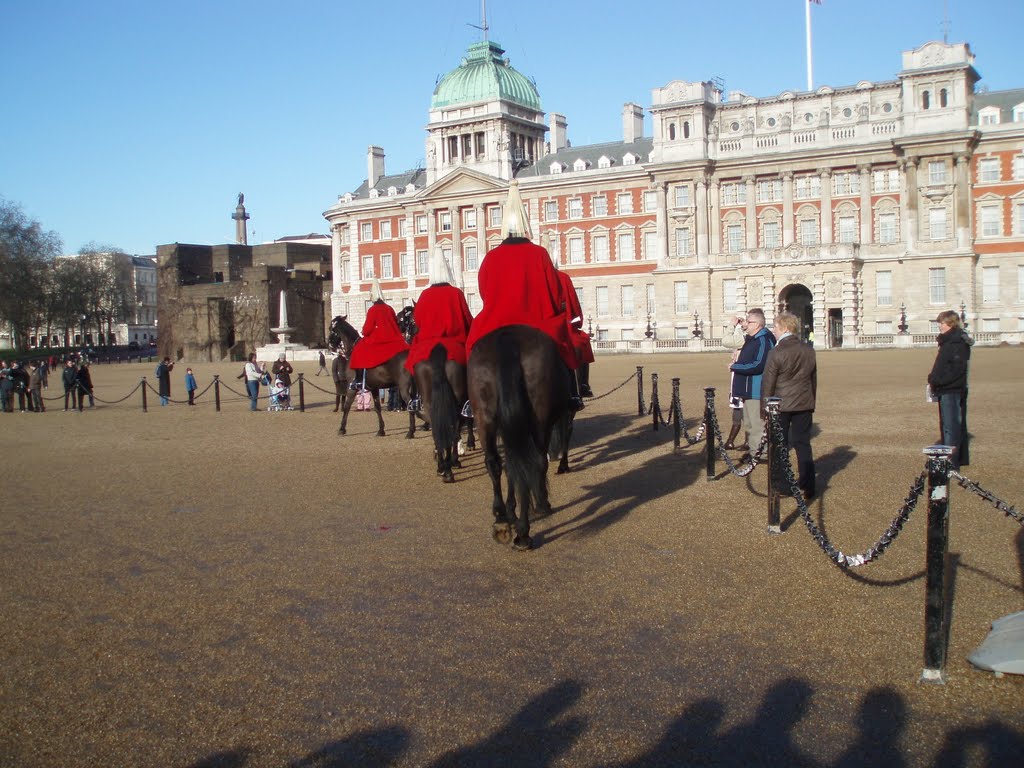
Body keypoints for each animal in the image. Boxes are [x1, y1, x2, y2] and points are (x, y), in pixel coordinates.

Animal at [466, 325, 573, 552]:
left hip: (484, 417)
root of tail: (508, 339)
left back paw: (500, 520)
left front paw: (509, 511)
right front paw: (540, 504)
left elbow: (509, 467)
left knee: (494, 463)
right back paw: (524, 533)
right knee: (534, 464)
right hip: (539, 422)